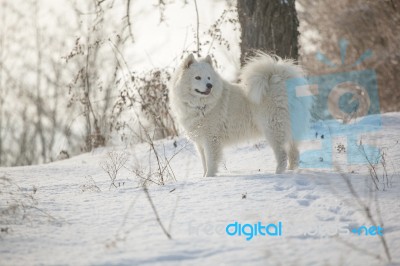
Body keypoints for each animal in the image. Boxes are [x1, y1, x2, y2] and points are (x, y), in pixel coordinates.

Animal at [168, 52, 304, 177]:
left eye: (209, 78)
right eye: (197, 77)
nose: (209, 85)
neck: (201, 106)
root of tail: (279, 79)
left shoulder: (211, 139)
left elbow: (211, 162)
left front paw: (209, 178)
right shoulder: (200, 142)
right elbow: (204, 163)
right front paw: (204, 178)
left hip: (273, 129)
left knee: (282, 155)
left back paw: (278, 174)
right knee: (294, 153)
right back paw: (291, 171)